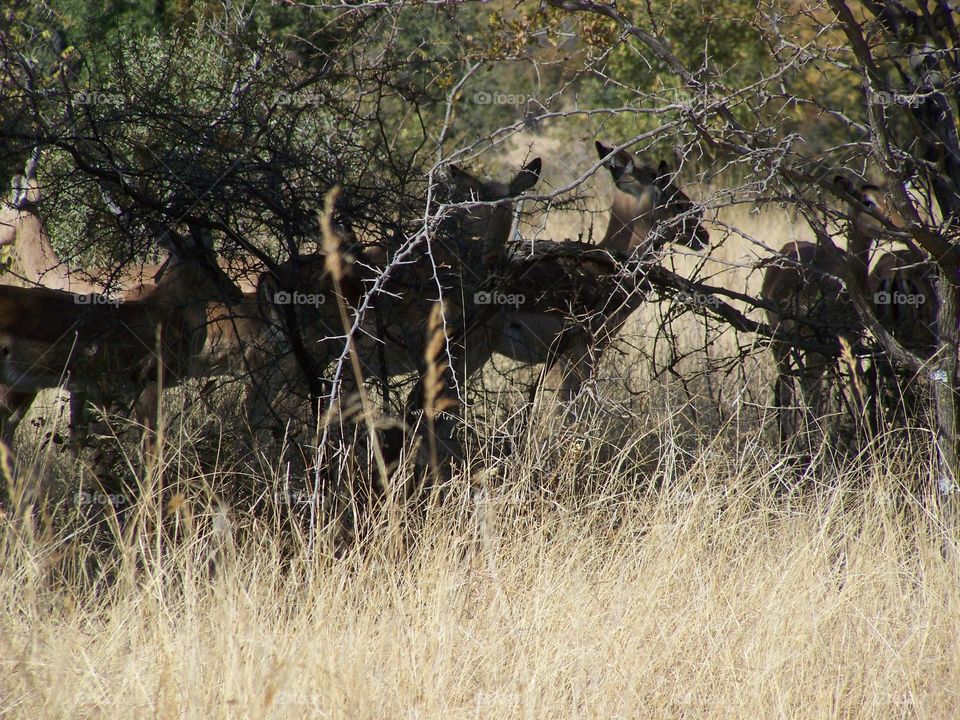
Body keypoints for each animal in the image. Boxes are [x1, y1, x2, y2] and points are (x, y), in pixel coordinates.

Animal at [760, 175, 904, 444]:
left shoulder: (851, 342)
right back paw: (791, 443)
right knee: (788, 388)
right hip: (783, 342)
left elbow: (859, 393)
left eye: (889, 199)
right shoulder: (817, 343)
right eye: (868, 202)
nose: (897, 225)